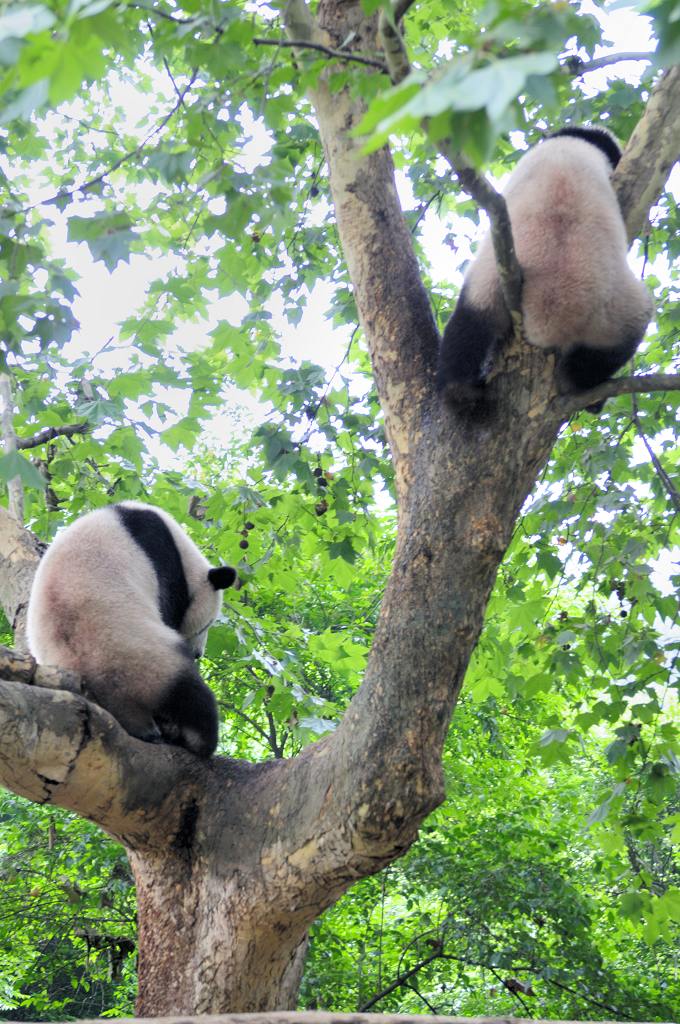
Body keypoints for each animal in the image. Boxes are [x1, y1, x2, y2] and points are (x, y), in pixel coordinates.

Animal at [26, 499, 237, 757]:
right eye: (206, 625)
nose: (198, 654)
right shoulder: (161, 554)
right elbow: (168, 607)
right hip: (145, 662)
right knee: (191, 695)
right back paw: (195, 738)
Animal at [436, 123, 655, 403]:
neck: (574, 140)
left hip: (490, 281)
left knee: (466, 328)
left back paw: (461, 394)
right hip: (614, 308)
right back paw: (577, 385)